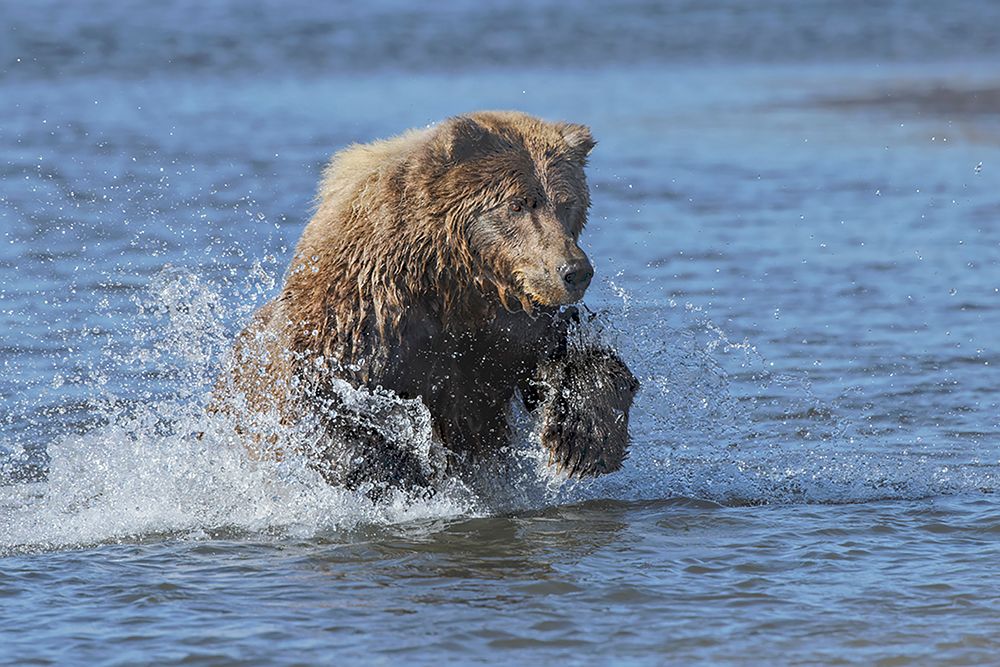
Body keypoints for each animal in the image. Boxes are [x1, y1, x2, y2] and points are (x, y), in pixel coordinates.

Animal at [213, 109, 640, 496]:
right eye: (518, 204)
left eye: (567, 203)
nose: (573, 271)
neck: (453, 281)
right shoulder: (363, 318)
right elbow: (330, 405)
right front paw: (400, 471)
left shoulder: (507, 331)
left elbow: (565, 366)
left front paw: (582, 439)